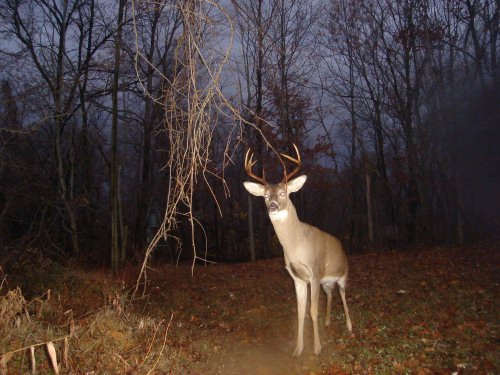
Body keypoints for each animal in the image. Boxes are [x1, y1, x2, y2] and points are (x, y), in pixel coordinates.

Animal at [241, 145, 352, 358]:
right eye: (265, 195)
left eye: (284, 193)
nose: (273, 206)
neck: (297, 246)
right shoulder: (297, 278)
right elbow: (301, 312)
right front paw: (298, 349)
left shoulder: (315, 272)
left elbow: (313, 311)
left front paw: (317, 348)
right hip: (326, 281)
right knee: (331, 293)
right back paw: (328, 322)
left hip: (342, 274)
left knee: (343, 294)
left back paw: (350, 327)